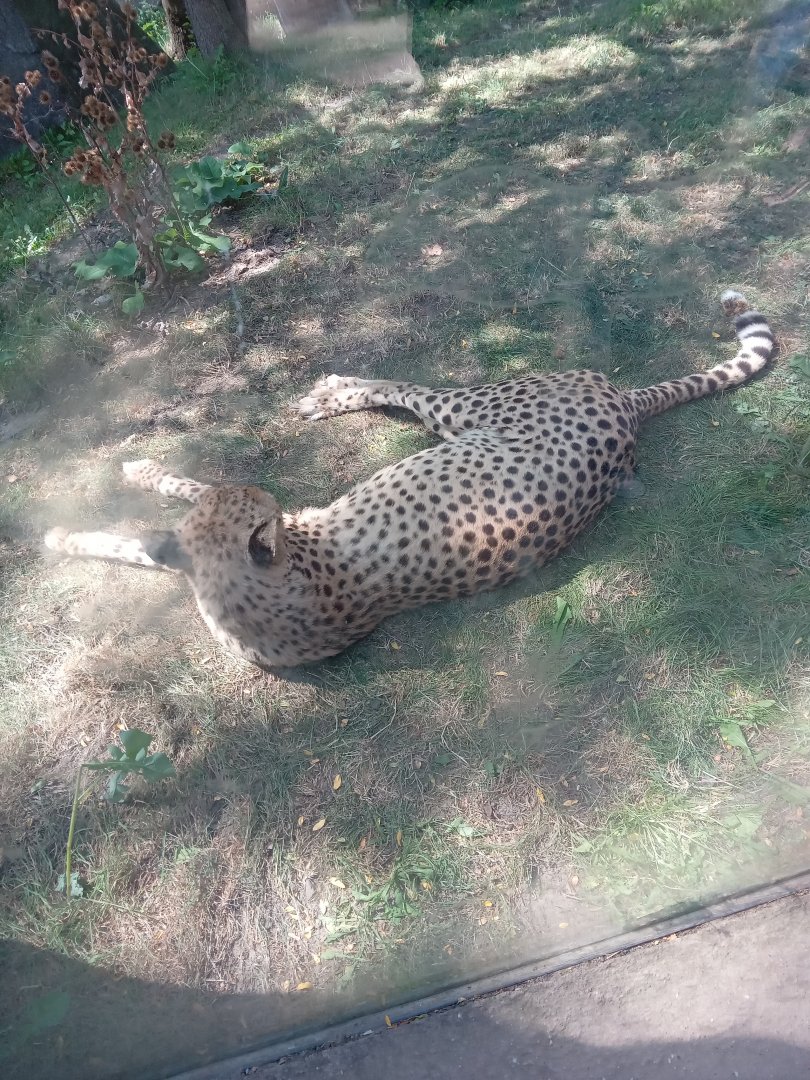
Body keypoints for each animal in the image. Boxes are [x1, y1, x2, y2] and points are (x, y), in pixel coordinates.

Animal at [44, 290, 774, 671]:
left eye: (261, 500)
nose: (268, 497)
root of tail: (626, 403)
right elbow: (141, 540)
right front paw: (70, 535)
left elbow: (175, 499)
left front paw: (124, 484)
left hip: (471, 409)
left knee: (402, 387)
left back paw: (327, 391)